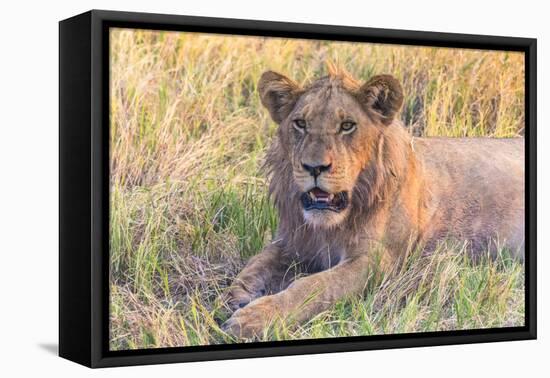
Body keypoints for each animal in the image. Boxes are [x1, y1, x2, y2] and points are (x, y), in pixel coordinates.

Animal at [221, 63, 528, 338]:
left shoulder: (377, 262)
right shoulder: (290, 242)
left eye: (347, 126)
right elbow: (254, 264)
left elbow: (315, 286)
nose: (314, 167)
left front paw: (252, 319)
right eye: (300, 124)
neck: (330, 226)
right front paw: (233, 297)